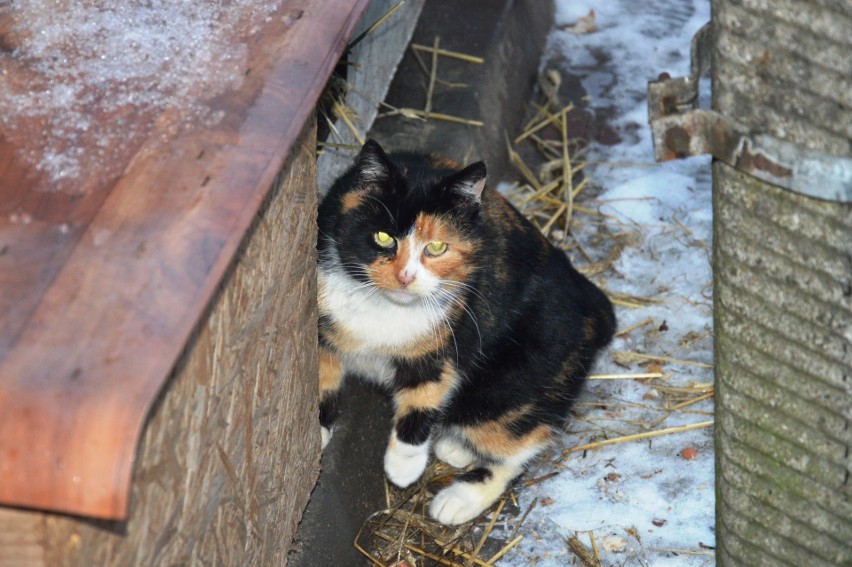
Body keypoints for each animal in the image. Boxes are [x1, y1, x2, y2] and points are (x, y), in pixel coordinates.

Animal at [316, 140, 616, 524]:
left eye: (436, 247)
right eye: (383, 237)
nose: (405, 277)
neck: (383, 305)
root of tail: (589, 300)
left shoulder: (446, 346)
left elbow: (424, 396)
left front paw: (403, 466)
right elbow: (320, 376)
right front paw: (317, 431)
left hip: (509, 385)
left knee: (518, 444)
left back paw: (459, 499)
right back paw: (454, 447)